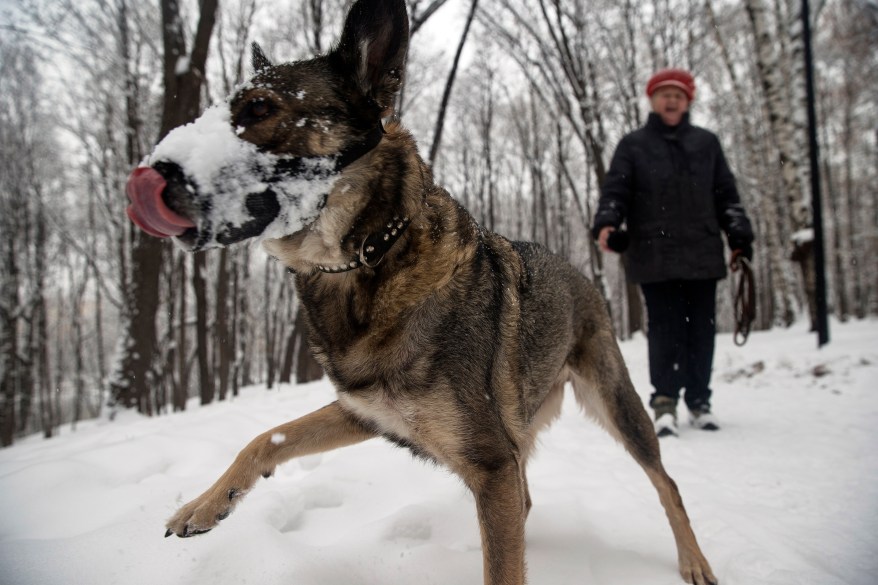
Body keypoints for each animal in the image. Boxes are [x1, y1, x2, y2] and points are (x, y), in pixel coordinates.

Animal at [127, 0, 720, 580]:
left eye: (258, 109)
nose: (150, 173)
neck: (371, 258)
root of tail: (577, 269)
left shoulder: (492, 464)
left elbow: (503, 566)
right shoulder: (366, 412)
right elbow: (268, 436)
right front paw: (204, 505)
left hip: (616, 405)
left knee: (666, 483)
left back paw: (694, 560)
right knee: (531, 501)